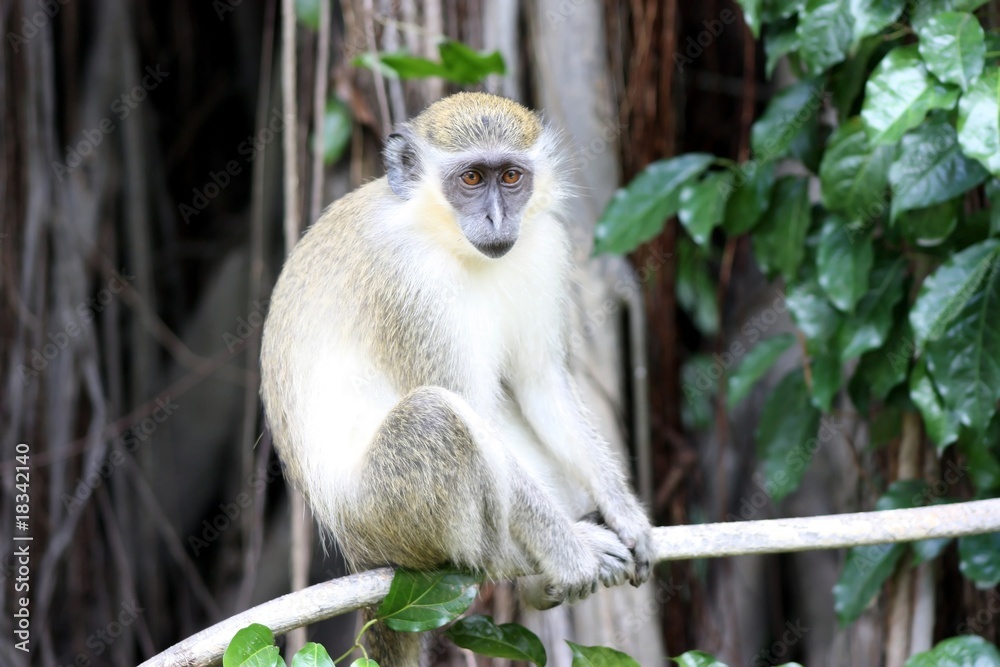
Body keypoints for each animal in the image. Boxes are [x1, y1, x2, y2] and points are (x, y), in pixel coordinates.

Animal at [260, 92, 653, 665]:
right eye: (470, 179)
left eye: (510, 177)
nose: (495, 216)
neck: (441, 234)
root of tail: (358, 550)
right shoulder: (409, 282)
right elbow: (475, 413)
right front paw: (570, 551)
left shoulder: (545, 245)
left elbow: (541, 384)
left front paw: (627, 515)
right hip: (385, 514)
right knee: (439, 417)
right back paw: (511, 558)